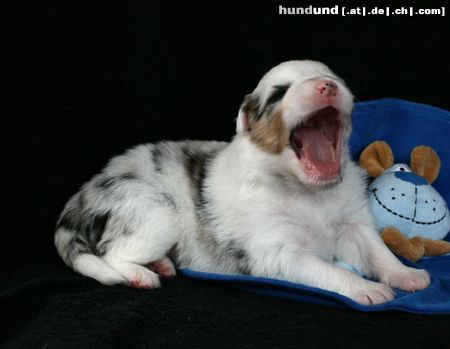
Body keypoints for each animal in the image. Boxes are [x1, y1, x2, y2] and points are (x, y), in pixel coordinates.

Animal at [54, 60, 430, 304]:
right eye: (279, 93)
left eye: (333, 77)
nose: (328, 86)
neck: (308, 192)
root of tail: (90, 188)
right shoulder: (281, 254)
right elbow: (330, 272)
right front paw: (365, 288)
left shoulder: (353, 224)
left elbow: (378, 251)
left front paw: (406, 274)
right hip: (154, 216)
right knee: (112, 252)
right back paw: (142, 274)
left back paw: (160, 264)